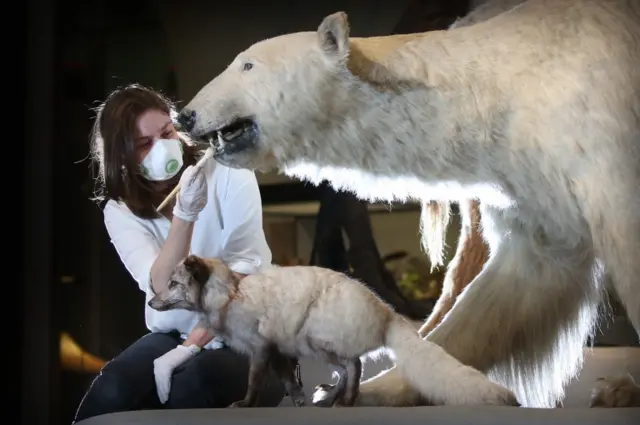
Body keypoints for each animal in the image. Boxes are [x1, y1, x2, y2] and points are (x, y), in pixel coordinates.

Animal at [149, 253, 520, 406]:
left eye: (173, 284)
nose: (151, 302)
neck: (229, 294)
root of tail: (386, 312)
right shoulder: (278, 350)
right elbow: (288, 380)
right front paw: (298, 399)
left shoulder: (260, 347)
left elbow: (254, 381)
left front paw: (245, 405)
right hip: (311, 346)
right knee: (349, 369)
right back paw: (338, 398)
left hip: (315, 341)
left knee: (353, 365)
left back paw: (344, 400)